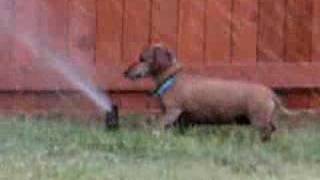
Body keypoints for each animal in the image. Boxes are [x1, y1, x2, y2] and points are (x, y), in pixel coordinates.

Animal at [124, 44, 312, 141]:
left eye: (142, 58)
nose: (125, 73)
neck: (172, 77)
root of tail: (269, 92)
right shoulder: (180, 118)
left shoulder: (173, 111)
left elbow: (158, 125)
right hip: (266, 117)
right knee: (272, 129)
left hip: (258, 119)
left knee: (266, 131)